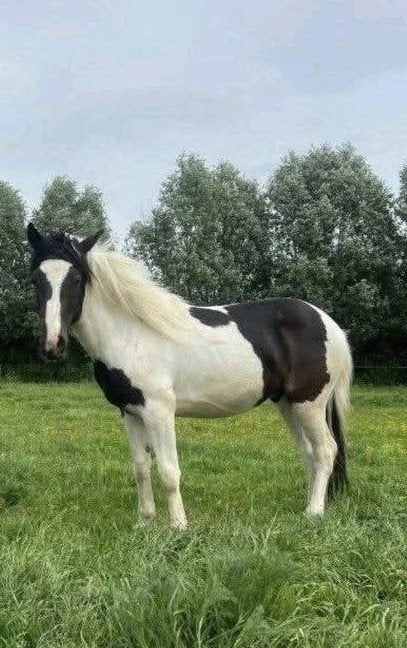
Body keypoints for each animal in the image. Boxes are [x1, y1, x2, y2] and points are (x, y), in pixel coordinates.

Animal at [27, 223, 352, 528]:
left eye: (76, 278)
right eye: (36, 279)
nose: (53, 344)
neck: (130, 335)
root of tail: (328, 323)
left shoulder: (159, 411)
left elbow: (168, 471)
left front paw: (178, 527)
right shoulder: (130, 412)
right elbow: (141, 468)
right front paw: (145, 523)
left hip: (309, 403)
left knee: (326, 450)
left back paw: (314, 512)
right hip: (287, 403)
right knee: (309, 453)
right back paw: (306, 506)